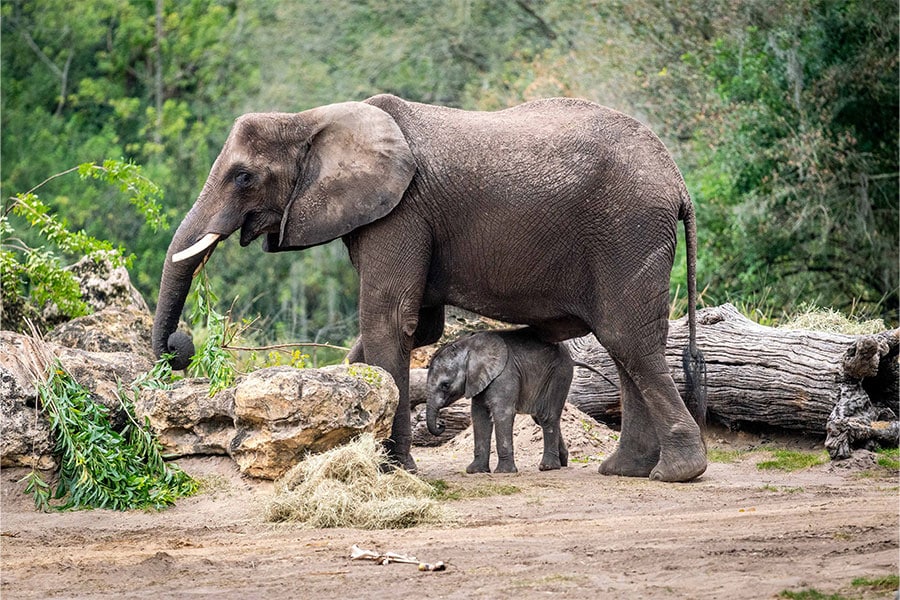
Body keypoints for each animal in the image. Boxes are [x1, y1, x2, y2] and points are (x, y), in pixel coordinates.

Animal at [426, 328, 572, 474]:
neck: (469, 346)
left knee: (547, 416)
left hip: (559, 375)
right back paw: (562, 462)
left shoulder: (505, 373)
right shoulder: (478, 379)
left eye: (445, 385)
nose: (441, 423)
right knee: (540, 418)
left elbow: (502, 413)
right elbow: (479, 416)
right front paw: (475, 471)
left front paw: (504, 471)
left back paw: (548, 467)